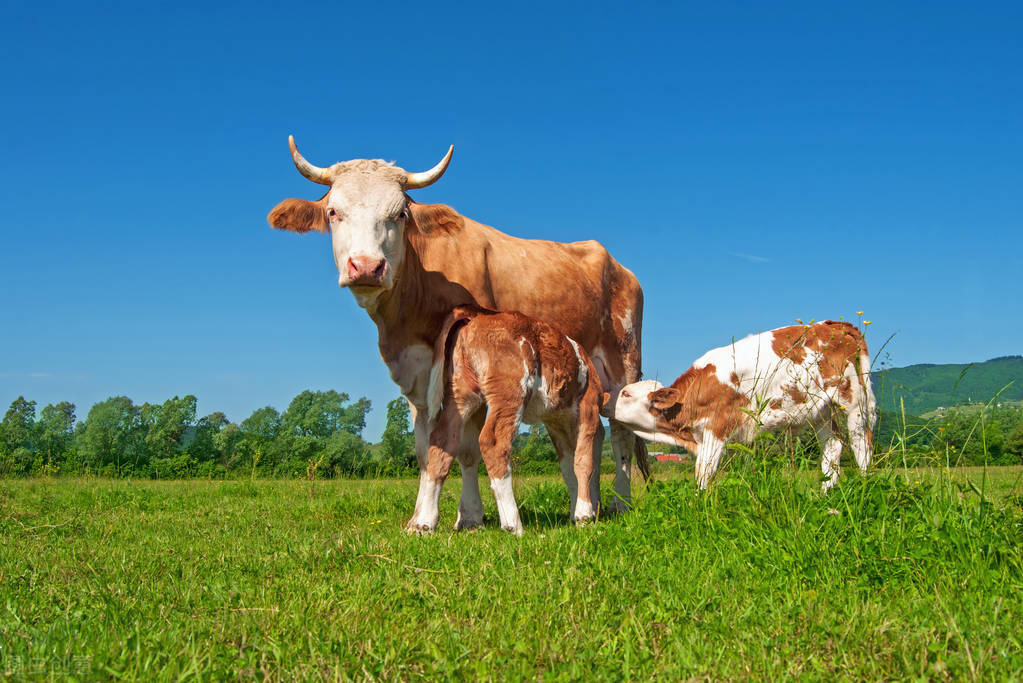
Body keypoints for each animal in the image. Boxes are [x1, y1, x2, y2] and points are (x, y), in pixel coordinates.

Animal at [405, 304, 601, 531]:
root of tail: (476, 316)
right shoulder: (590, 408)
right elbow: (584, 462)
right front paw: (584, 515)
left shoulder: (555, 421)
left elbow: (568, 467)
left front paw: (574, 514)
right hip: (511, 391)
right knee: (493, 443)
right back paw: (512, 525)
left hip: (460, 394)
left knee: (443, 441)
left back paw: (423, 523)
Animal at [609, 321, 875, 490]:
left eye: (626, 393)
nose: (604, 399)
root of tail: (835, 324)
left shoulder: (716, 429)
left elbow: (703, 475)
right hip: (821, 410)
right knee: (833, 447)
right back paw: (825, 494)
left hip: (854, 400)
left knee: (861, 444)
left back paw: (863, 485)